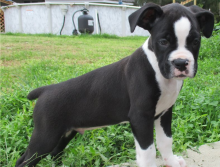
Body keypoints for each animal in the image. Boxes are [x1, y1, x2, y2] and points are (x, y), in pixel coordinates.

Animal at [16, 2, 214, 167]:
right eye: (163, 42)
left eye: (195, 41)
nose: (181, 63)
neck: (157, 69)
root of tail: (46, 89)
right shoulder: (141, 117)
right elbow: (147, 153)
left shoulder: (164, 113)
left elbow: (166, 141)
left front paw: (171, 162)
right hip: (45, 136)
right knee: (24, 160)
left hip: (64, 133)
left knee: (55, 153)